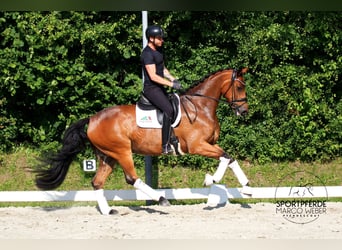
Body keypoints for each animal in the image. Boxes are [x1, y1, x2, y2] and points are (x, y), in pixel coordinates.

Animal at [35, 67, 251, 214]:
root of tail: (92, 119)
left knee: (97, 182)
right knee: (131, 178)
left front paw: (247, 188)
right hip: (122, 151)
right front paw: (211, 179)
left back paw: (108, 211)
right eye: (240, 86)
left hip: (107, 155)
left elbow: (230, 158)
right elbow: (225, 158)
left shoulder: (210, 144)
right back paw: (161, 199)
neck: (201, 106)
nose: (244, 111)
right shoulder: (197, 146)